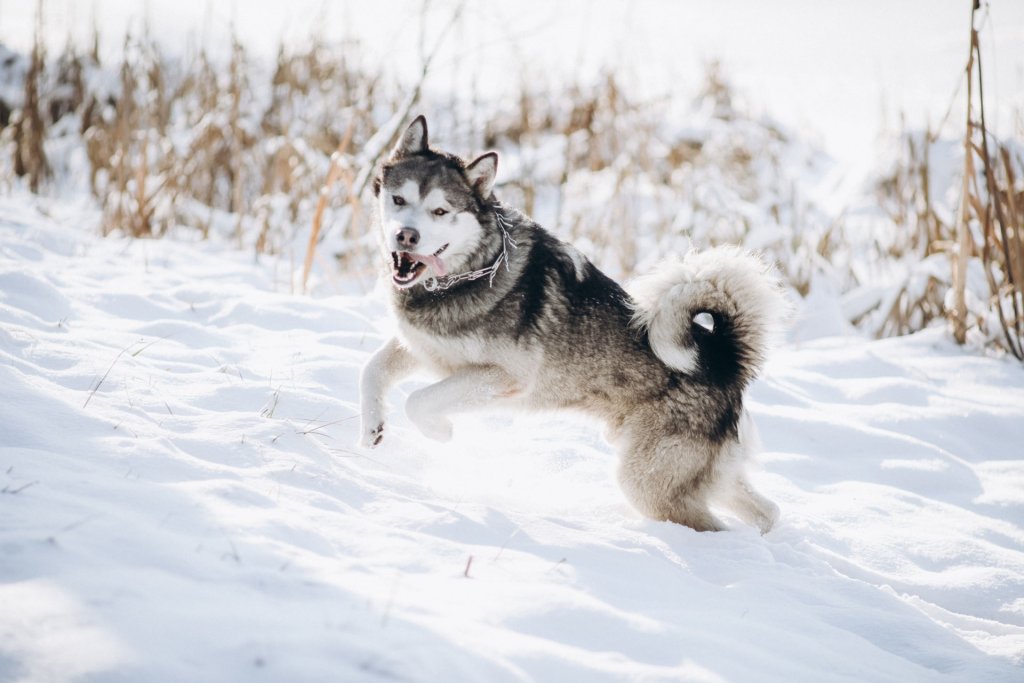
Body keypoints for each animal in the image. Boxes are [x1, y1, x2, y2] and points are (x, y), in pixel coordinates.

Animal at [360, 116, 782, 532]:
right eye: (399, 200)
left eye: (440, 211)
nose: (406, 236)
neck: (468, 271)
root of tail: (723, 359)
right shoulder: (420, 348)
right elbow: (372, 370)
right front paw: (372, 428)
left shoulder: (502, 377)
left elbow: (418, 400)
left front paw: (441, 431)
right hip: (700, 475)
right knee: (768, 511)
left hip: (648, 482)